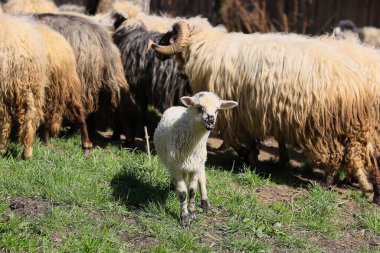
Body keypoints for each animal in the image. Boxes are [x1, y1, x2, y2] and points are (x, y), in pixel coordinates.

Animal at [152, 92, 236, 226]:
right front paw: (185, 217)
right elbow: (183, 194)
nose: (211, 121)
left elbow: (192, 191)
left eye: (217, 110)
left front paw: (191, 212)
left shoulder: (195, 168)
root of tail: (178, 106)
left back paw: (205, 203)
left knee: (202, 181)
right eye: (199, 107)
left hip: (200, 163)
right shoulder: (176, 167)